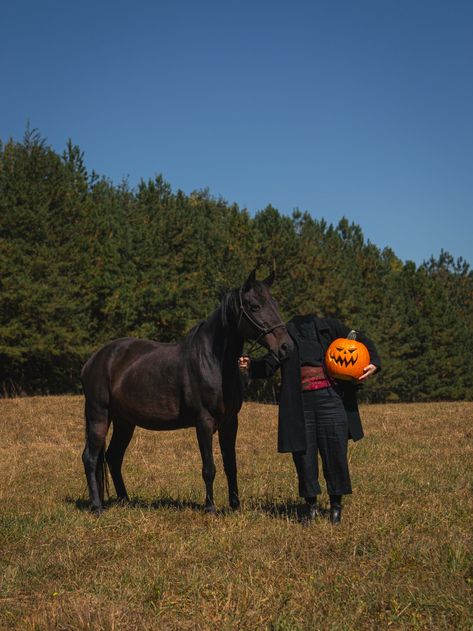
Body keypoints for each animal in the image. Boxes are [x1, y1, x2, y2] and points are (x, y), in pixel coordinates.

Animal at [81, 270, 292, 512]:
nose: (286, 346)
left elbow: (231, 465)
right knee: (90, 458)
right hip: (99, 416)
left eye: (275, 303)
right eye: (254, 306)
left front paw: (235, 506)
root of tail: (93, 361)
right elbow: (209, 468)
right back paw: (97, 506)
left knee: (113, 457)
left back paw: (125, 501)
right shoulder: (204, 421)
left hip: (125, 422)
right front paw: (210, 508)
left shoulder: (230, 421)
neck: (212, 361)